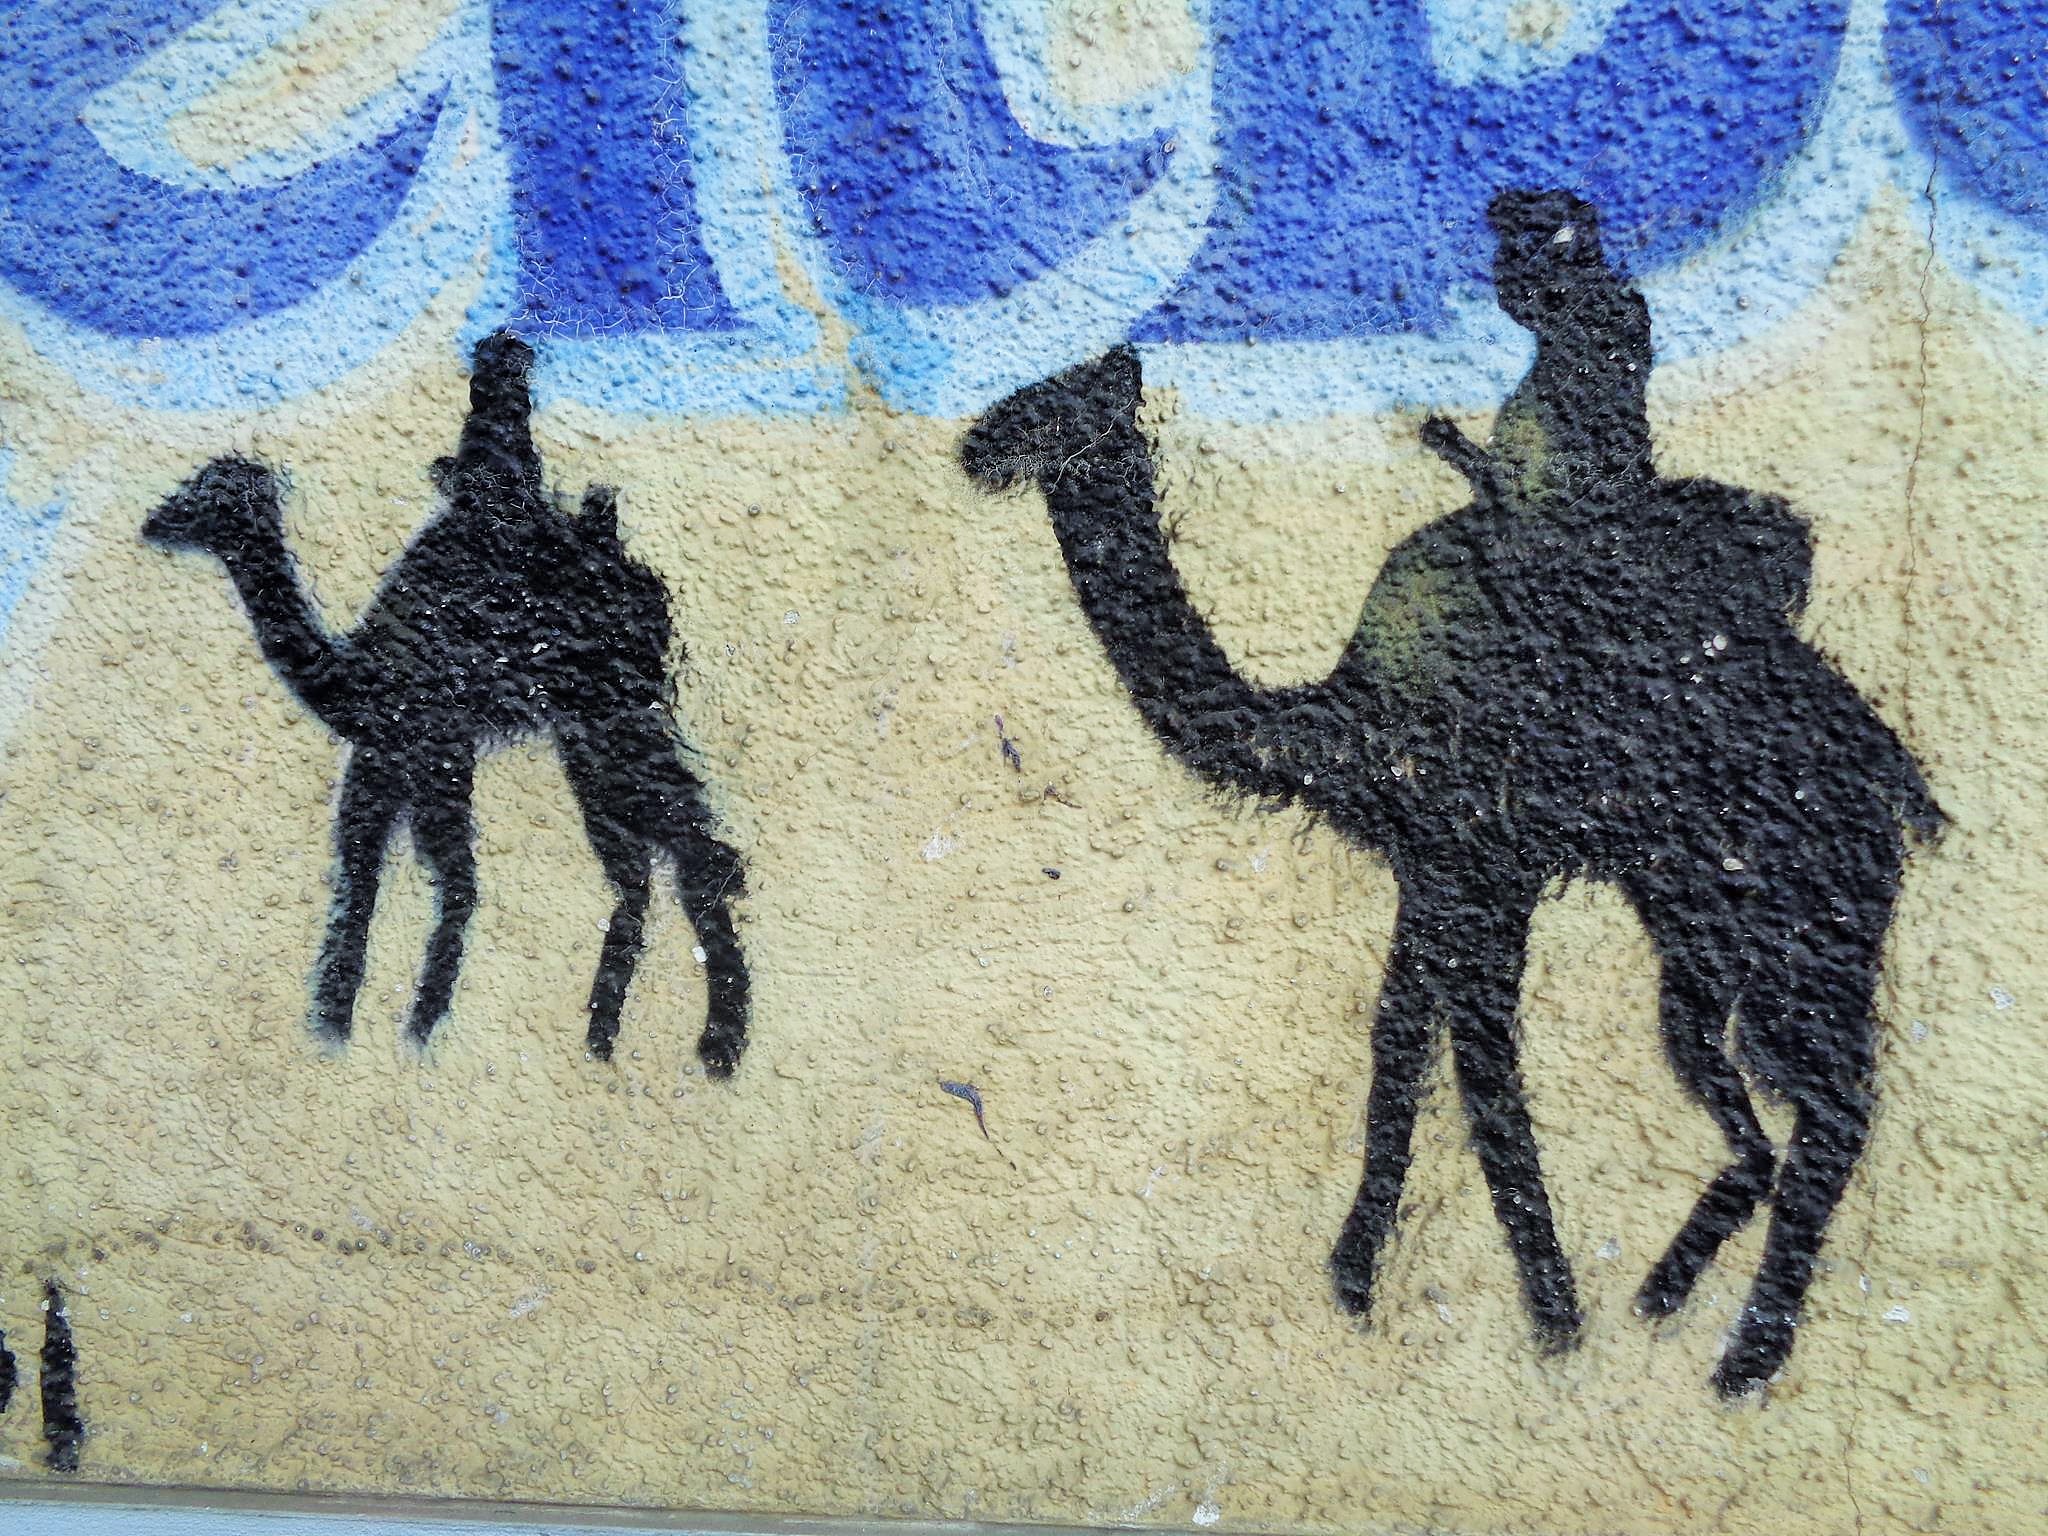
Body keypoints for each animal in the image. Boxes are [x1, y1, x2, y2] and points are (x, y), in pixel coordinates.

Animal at [142, 333, 750, 1075]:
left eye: (210, 492)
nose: (156, 519)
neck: (357, 676)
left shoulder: (432, 750)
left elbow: (454, 878)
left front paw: (417, 1023)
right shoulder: (385, 760)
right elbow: (365, 875)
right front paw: (345, 1018)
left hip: (614, 716)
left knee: (693, 852)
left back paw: (717, 1040)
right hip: (588, 731)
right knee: (642, 866)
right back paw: (607, 1033)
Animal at [960, 189, 1941, 1396]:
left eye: (1057, 402)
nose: (973, 445)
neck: (1330, 726)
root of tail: (1900, 787)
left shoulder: (1475, 863)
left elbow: (1481, 1069)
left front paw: (1548, 1311)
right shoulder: (1430, 870)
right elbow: (1402, 1046)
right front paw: (1360, 1279)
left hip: (1798, 913)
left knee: (1836, 1102)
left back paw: (1743, 1355)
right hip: (1710, 922)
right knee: (1786, 1103)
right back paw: (1677, 1294)